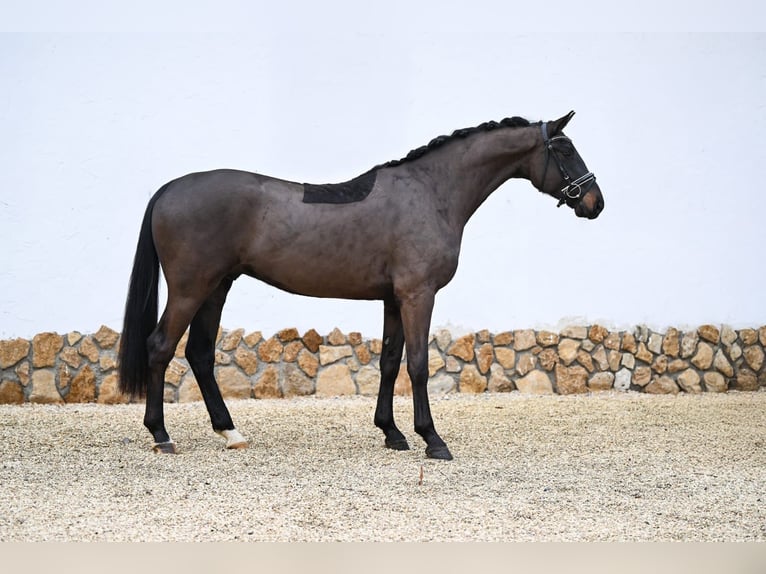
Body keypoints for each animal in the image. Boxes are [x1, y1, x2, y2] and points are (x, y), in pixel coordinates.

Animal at [118, 110, 604, 460]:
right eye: (564, 149)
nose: (595, 203)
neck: (431, 192)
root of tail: (167, 190)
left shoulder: (393, 298)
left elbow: (389, 361)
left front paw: (392, 432)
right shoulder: (418, 295)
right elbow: (418, 364)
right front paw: (432, 439)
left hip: (217, 287)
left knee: (199, 353)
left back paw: (230, 432)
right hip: (191, 288)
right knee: (160, 346)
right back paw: (161, 435)